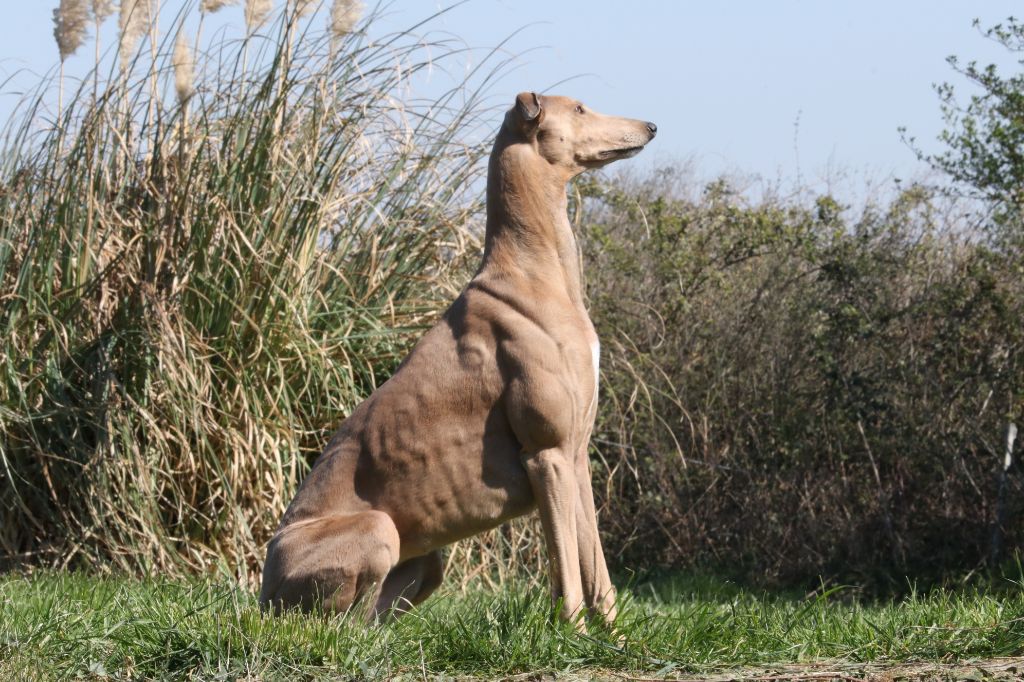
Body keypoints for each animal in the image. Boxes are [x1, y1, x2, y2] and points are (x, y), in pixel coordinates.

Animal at [256, 91, 655, 622]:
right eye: (579, 109)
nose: (651, 126)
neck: (535, 273)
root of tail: (262, 593)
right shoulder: (547, 454)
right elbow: (568, 576)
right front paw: (572, 635)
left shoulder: (575, 457)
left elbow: (599, 576)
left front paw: (614, 637)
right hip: (378, 528)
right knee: (338, 626)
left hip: (427, 561)